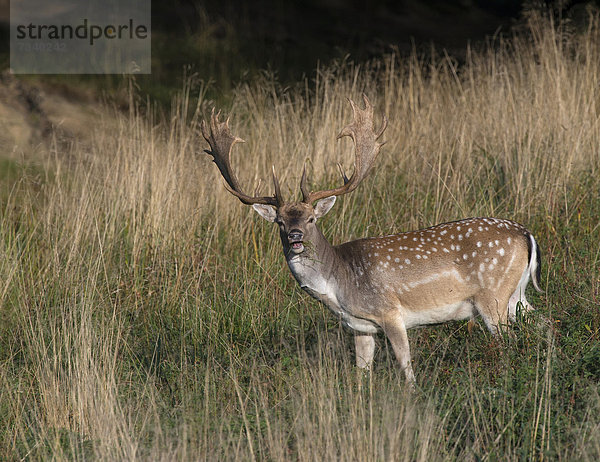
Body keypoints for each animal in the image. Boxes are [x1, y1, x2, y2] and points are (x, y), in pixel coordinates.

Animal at [202, 95, 544, 384]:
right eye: (281, 222)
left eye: (311, 219)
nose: (296, 237)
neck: (338, 285)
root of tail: (526, 234)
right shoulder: (360, 327)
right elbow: (361, 372)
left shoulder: (390, 312)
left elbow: (406, 366)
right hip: (516, 295)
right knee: (542, 323)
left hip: (492, 295)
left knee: (510, 341)